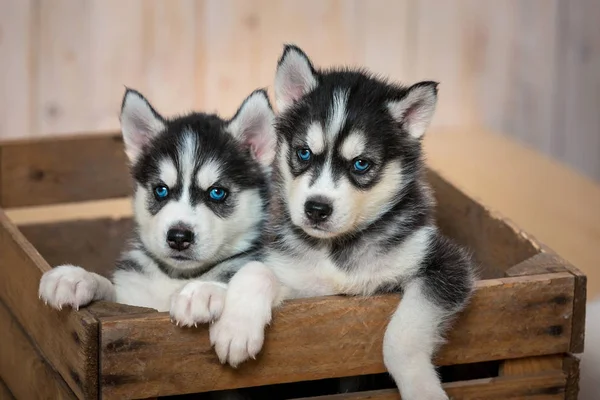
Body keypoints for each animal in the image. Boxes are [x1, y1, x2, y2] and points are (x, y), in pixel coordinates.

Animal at [38, 87, 278, 324]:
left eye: (217, 192)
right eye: (161, 190)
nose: (178, 237)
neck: (176, 276)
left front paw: (201, 291)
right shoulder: (131, 300)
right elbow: (110, 289)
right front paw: (75, 277)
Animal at [209, 45, 476, 398]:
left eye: (361, 164)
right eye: (304, 153)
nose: (316, 208)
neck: (335, 251)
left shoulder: (445, 264)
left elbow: (401, 337)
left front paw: (422, 388)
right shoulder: (305, 288)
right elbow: (255, 270)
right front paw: (236, 329)